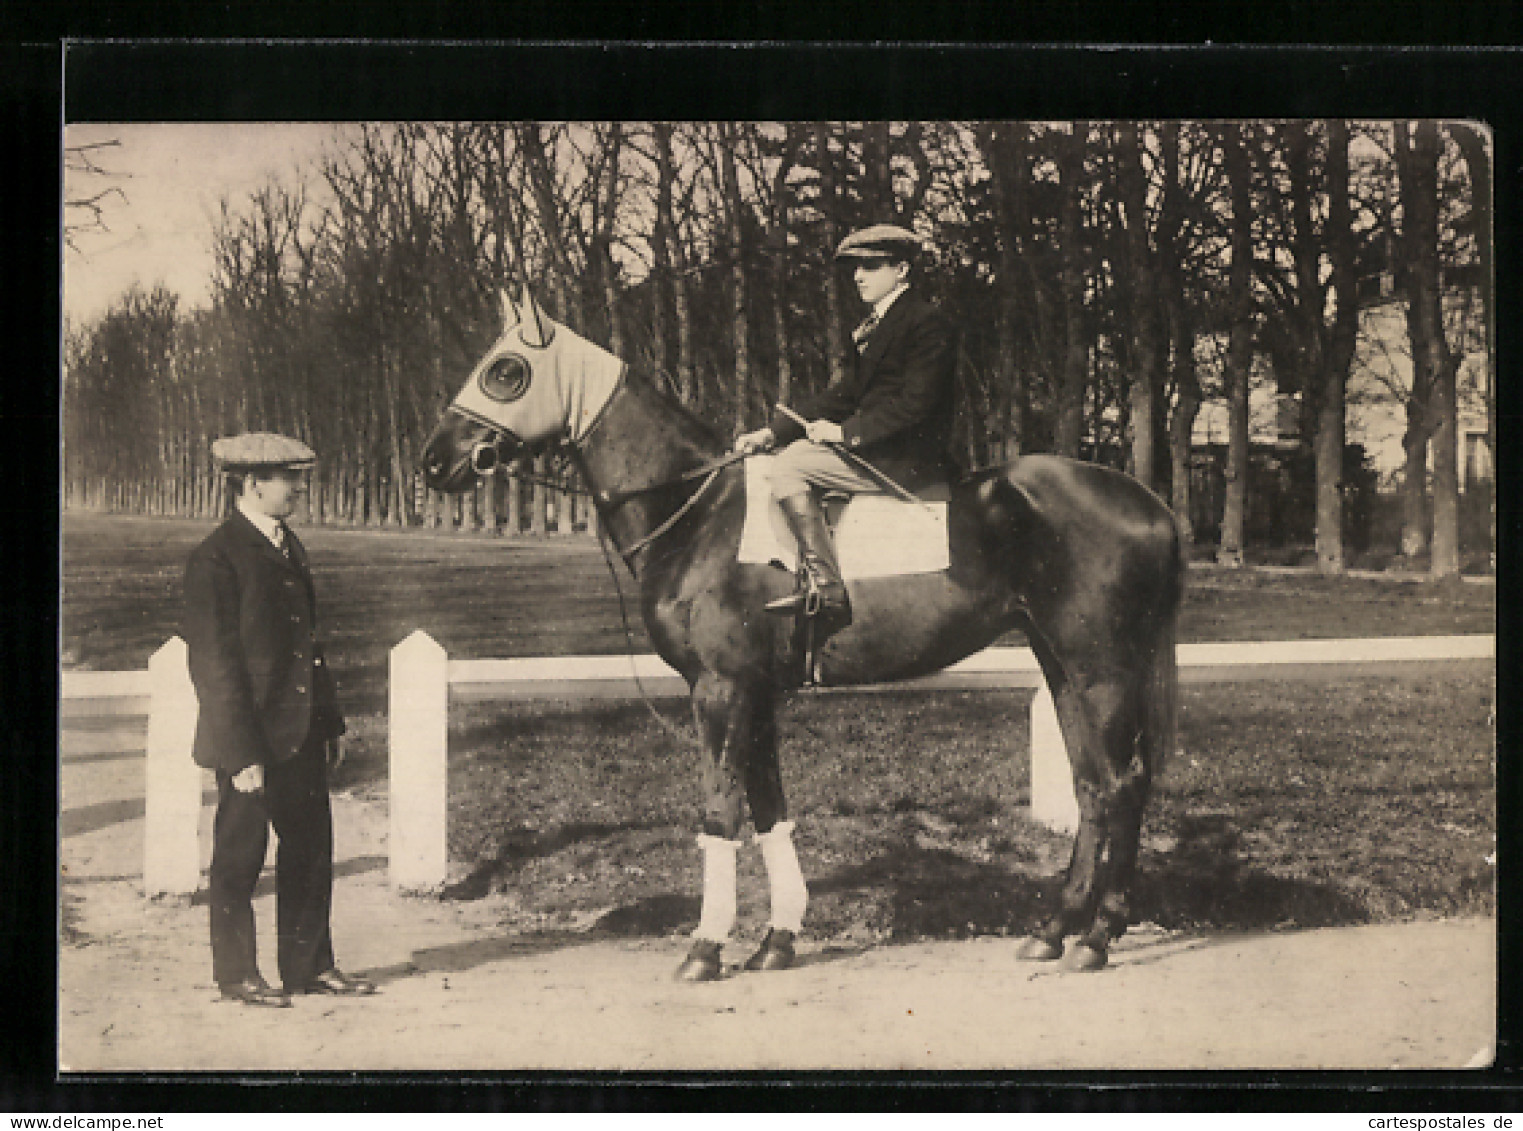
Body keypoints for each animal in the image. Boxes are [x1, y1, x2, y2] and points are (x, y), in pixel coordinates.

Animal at [423, 292, 1181, 980]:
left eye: (505, 371)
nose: (434, 461)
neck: (700, 511)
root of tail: (1148, 501)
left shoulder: (720, 688)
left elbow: (719, 811)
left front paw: (705, 948)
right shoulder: (756, 692)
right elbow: (768, 810)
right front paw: (776, 940)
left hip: (1101, 667)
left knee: (1121, 783)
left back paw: (1097, 938)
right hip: (1061, 663)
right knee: (1092, 785)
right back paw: (1054, 930)